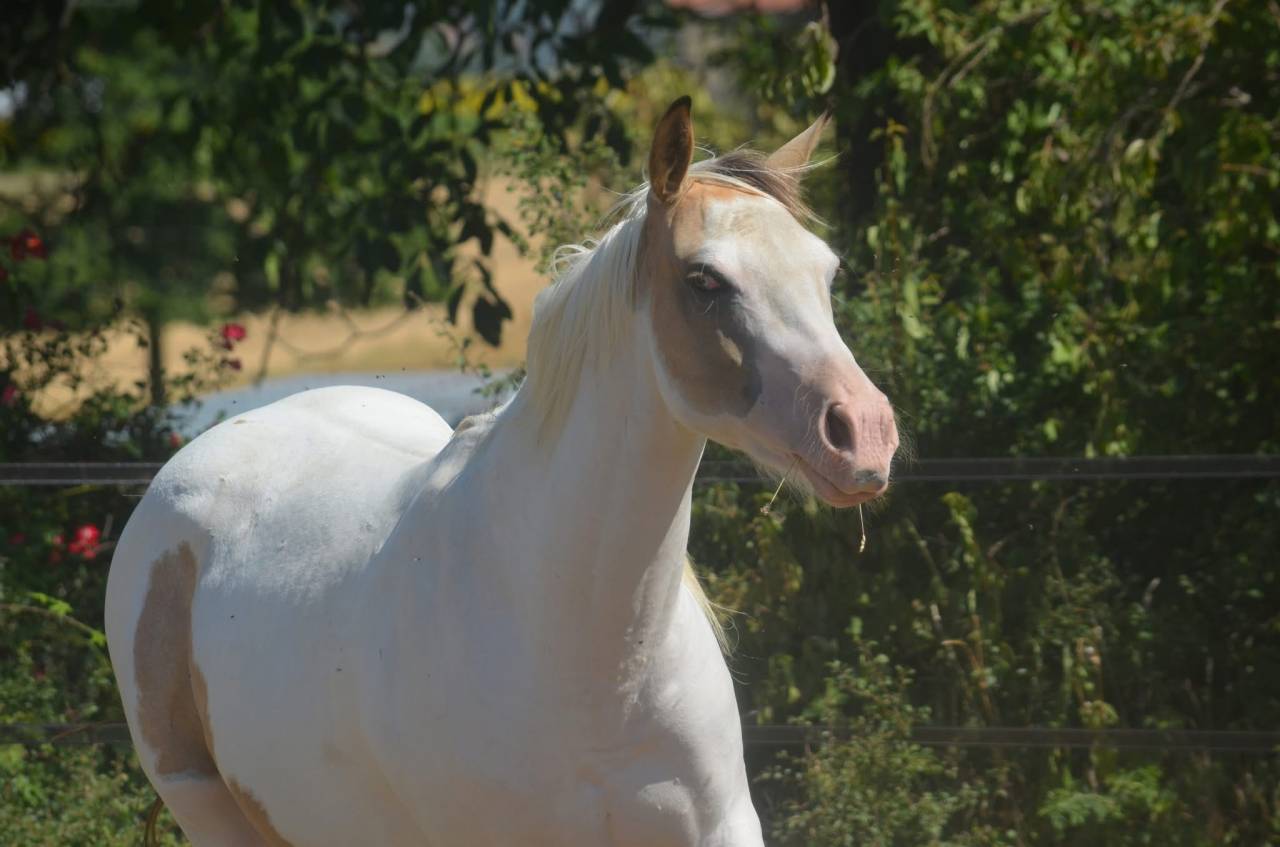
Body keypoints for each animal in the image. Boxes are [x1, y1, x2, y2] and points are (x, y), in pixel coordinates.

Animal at [105, 97, 899, 846]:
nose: (864, 433)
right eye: (704, 279)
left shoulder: (720, 826)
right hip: (209, 809)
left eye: (826, 270)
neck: (592, 657)